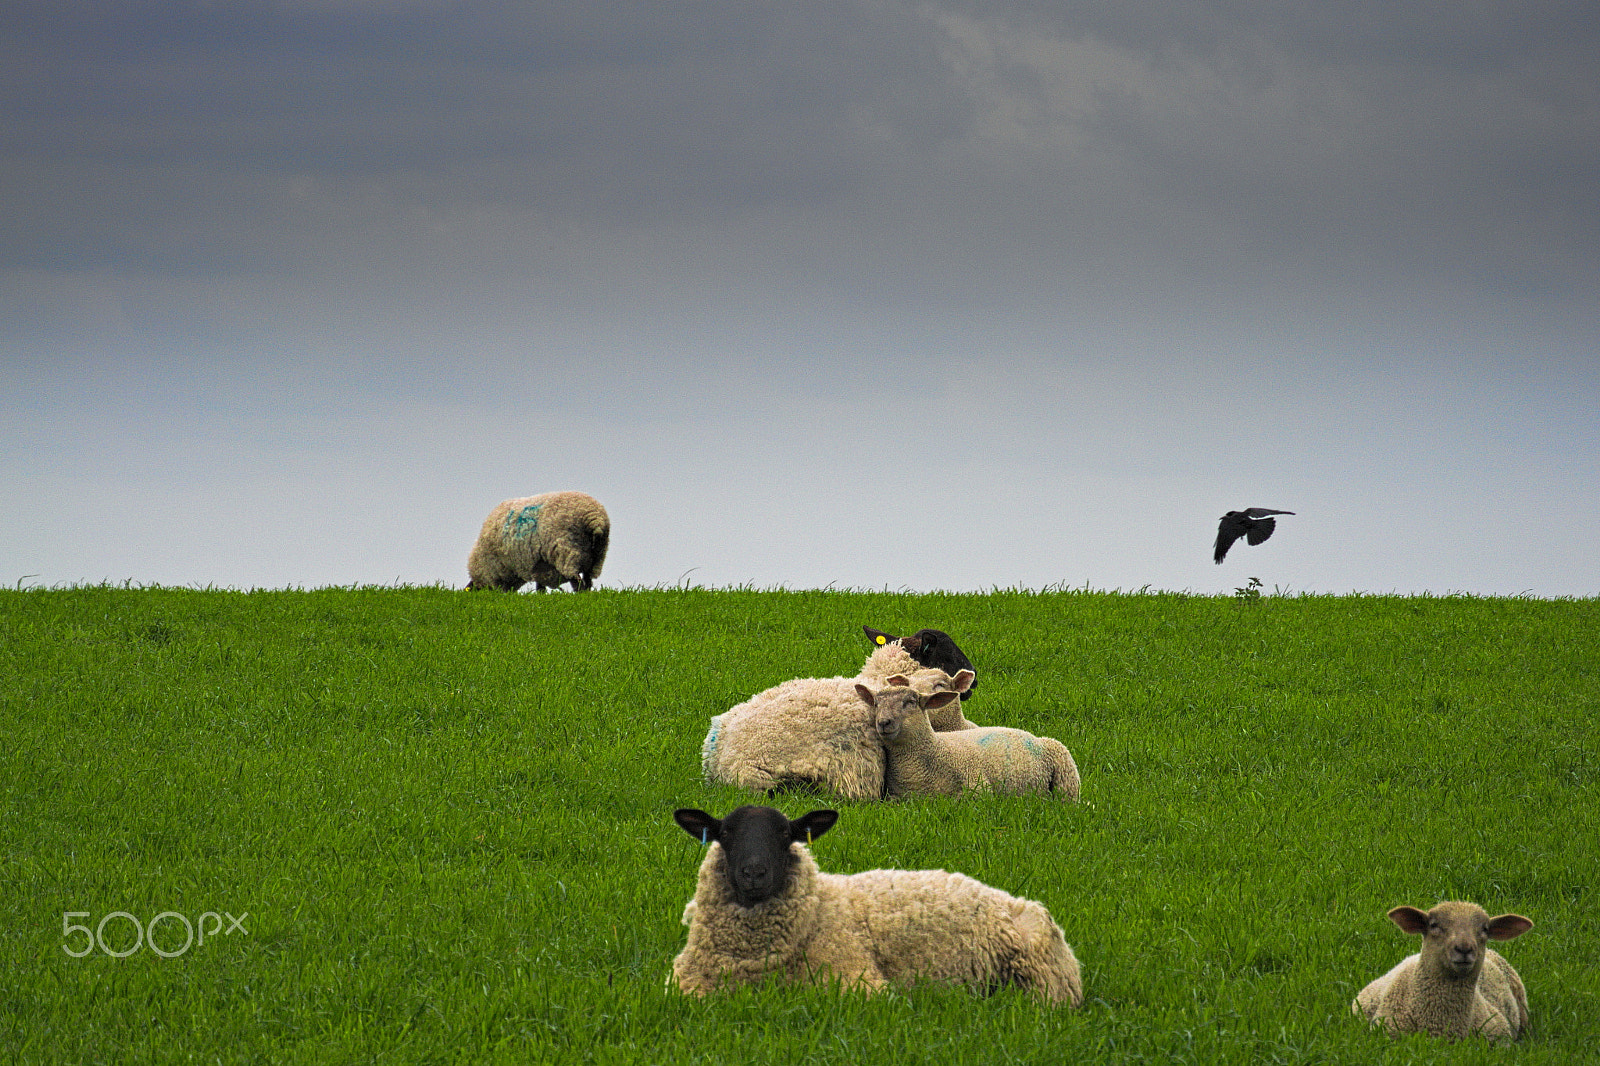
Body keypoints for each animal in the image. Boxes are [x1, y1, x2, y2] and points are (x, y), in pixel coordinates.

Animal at [465, 491, 610, 592]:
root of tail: (595, 518)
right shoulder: (538, 565)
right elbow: (540, 586)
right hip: (597, 556)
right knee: (588, 581)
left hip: (569, 552)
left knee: (576, 581)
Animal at [670, 804, 1083, 1006]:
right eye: (724, 833)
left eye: (786, 834)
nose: (754, 872)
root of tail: (1016, 902)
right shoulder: (686, 985)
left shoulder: (857, 981)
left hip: (1043, 980)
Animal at [864, 677, 1081, 801]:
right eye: (876, 703)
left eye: (910, 702)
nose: (884, 722)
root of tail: (1034, 737)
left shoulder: (978, 789)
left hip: (1065, 770)